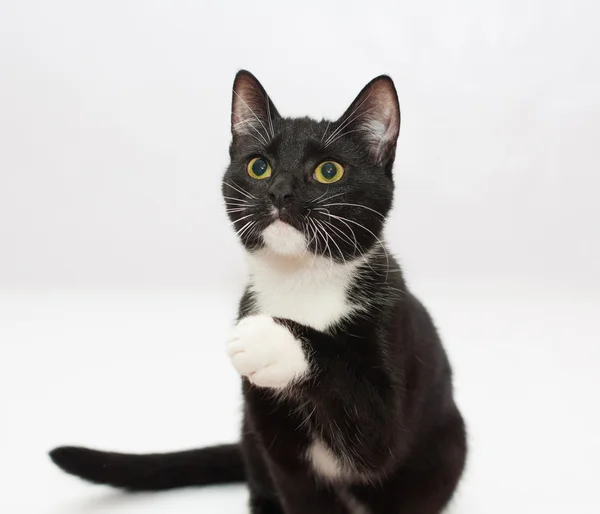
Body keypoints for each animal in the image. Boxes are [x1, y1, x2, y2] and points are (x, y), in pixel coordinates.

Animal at [49, 70, 466, 510]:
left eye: (329, 171)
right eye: (259, 166)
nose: (279, 191)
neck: (302, 283)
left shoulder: (388, 349)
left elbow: (369, 428)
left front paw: (269, 340)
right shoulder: (277, 445)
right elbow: (299, 491)